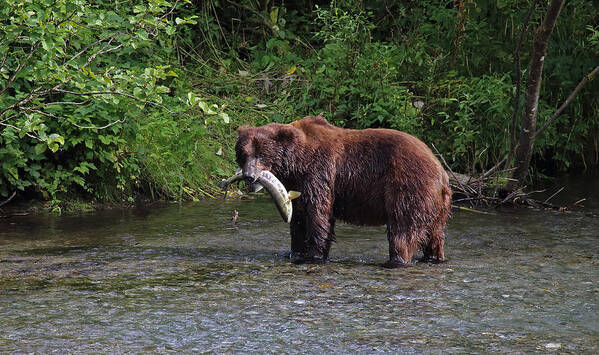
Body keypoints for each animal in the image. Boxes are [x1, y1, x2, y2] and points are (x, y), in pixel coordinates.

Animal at [237, 115, 452, 268]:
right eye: (243, 153)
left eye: (261, 154)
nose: (249, 175)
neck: (296, 163)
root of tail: (441, 172)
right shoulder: (296, 185)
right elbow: (298, 219)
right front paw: (296, 252)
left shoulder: (319, 173)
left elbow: (318, 215)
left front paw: (314, 255)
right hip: (438, 207)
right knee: (434, 236)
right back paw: (434, 258)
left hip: (408, 188)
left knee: (402, 230)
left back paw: (395, 260)